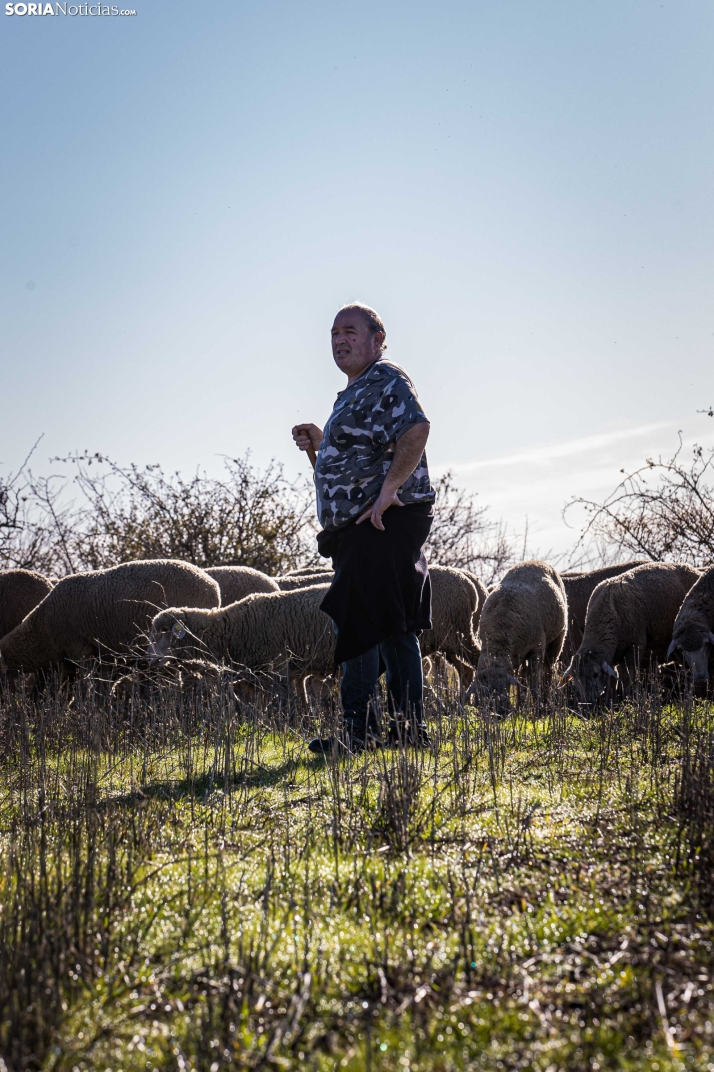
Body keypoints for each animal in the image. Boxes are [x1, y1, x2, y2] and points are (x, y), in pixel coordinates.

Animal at [469, 557, 566, 716]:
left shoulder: (536, 648)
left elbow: (534, 682)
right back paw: (521, 705)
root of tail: (535, 561)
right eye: (483, 693)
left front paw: (537, 709)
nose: (497, 714)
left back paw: (546, 703)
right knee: (522, 675)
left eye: (503, 687)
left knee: (548, 670)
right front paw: (520, 708)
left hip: (558, 639)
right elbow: (521, 680)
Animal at [566, 561, 698, 703]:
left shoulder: (635, 646)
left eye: (596, 674)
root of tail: (688, 566)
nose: (587, 701)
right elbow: (612, 679)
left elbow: (628, 676)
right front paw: (611, 701)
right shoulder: (615, 653)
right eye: (576, 678)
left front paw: (629, 699)